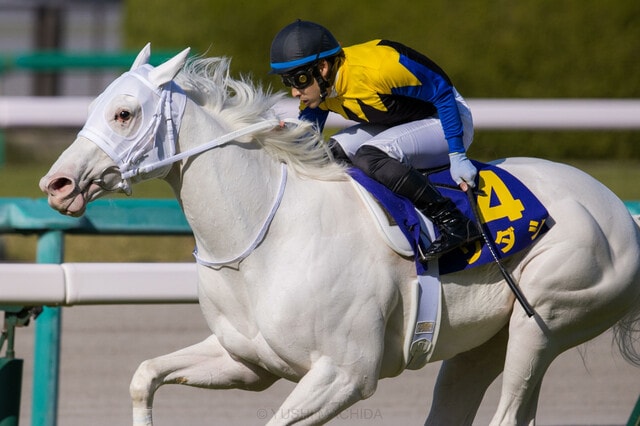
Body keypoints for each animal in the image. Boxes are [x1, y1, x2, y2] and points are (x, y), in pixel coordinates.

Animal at [39, 44, 640, 425]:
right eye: (93, 106)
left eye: (123, 113)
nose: (57, 183)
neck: (264, 242)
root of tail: (620, 212)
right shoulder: (245, 362)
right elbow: (144, 375)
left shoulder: (345, 375)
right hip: (481, 344)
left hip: (545, 323)